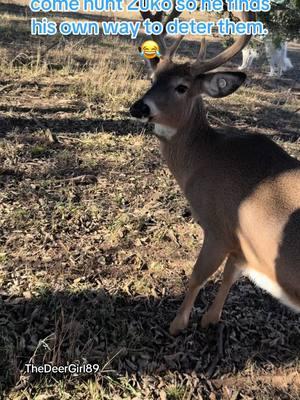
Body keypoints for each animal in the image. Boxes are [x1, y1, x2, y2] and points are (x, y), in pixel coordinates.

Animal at [129, 9, 300, 336]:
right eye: (153, 78)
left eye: (182, 87)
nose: (138, 108)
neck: (206, 158)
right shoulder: (241, 244)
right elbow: (230, 275)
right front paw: (211, 319)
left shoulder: (218, 228)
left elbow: (198, 276)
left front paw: (177, 324)